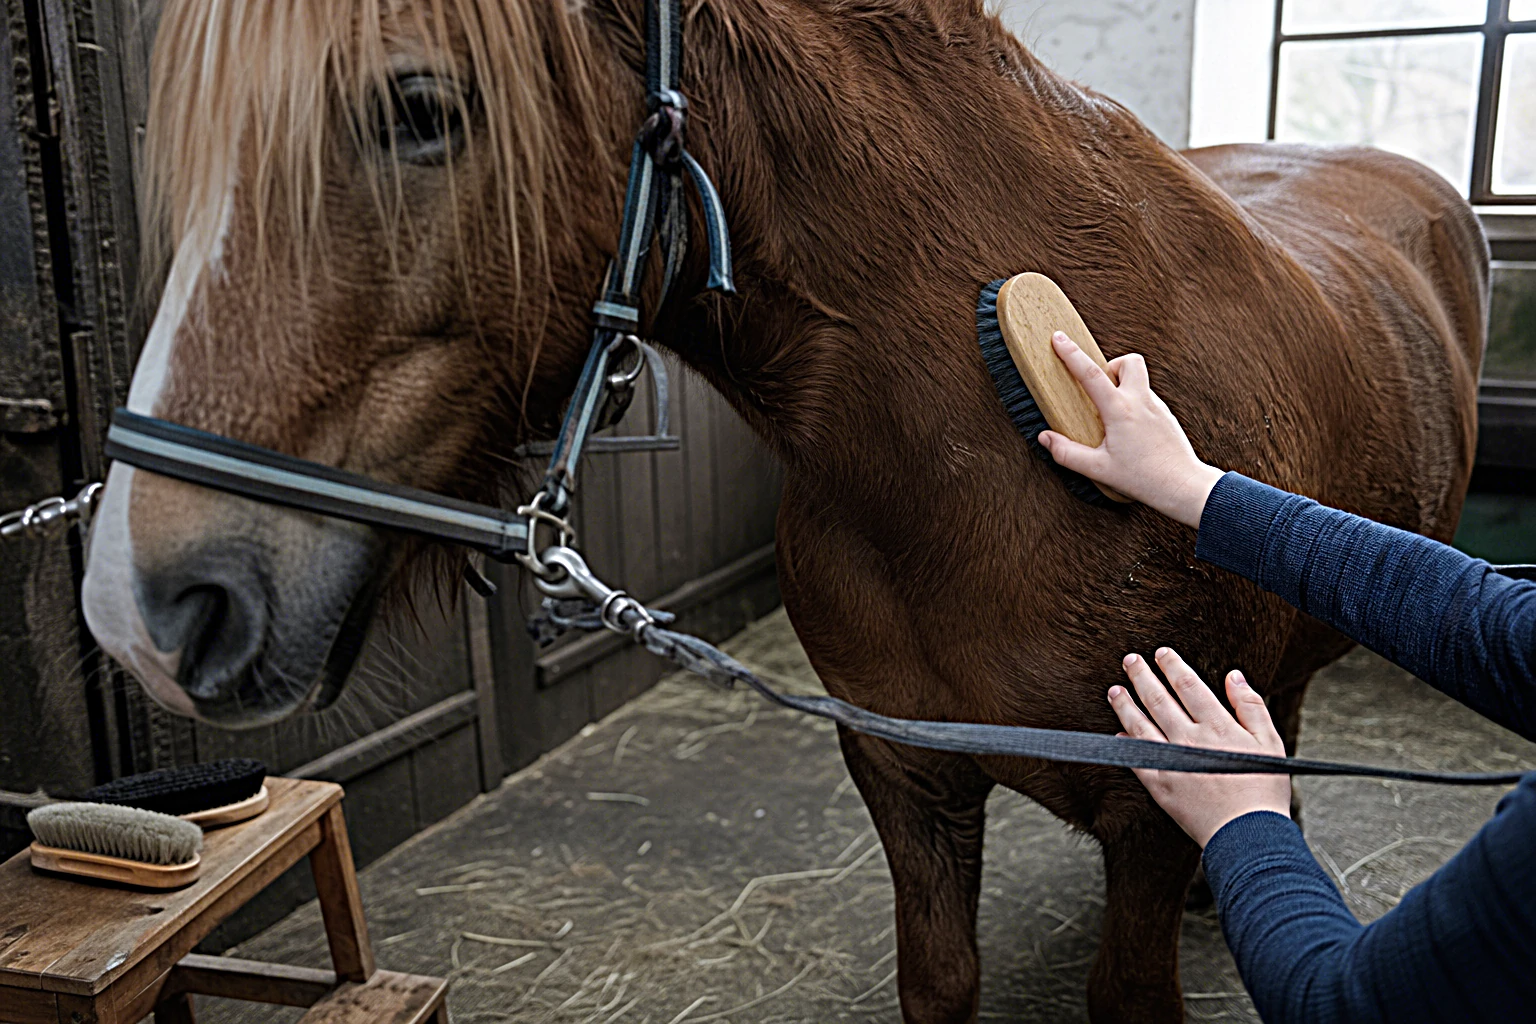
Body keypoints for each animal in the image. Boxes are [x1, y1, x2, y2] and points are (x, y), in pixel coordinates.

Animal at [78, 0, 1487, 1020]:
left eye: (421, 108)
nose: (145, 602)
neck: (986, 449)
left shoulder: (1145, 813)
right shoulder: (905, 772)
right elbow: (941, 978)